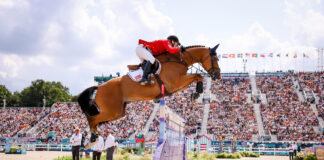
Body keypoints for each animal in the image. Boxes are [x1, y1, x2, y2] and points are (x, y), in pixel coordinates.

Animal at [77, 44, 221, 136]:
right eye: (215, 58)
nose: (217, 76)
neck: (180, 60)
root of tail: (99, 87)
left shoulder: (177, 85)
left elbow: (197, 77)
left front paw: (196, 93)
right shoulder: (175, 83)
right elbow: (198, 75)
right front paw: (197, 93)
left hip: (119, 112)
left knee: (97, 119)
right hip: (113, 110)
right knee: (92, 119)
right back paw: (93, 136)